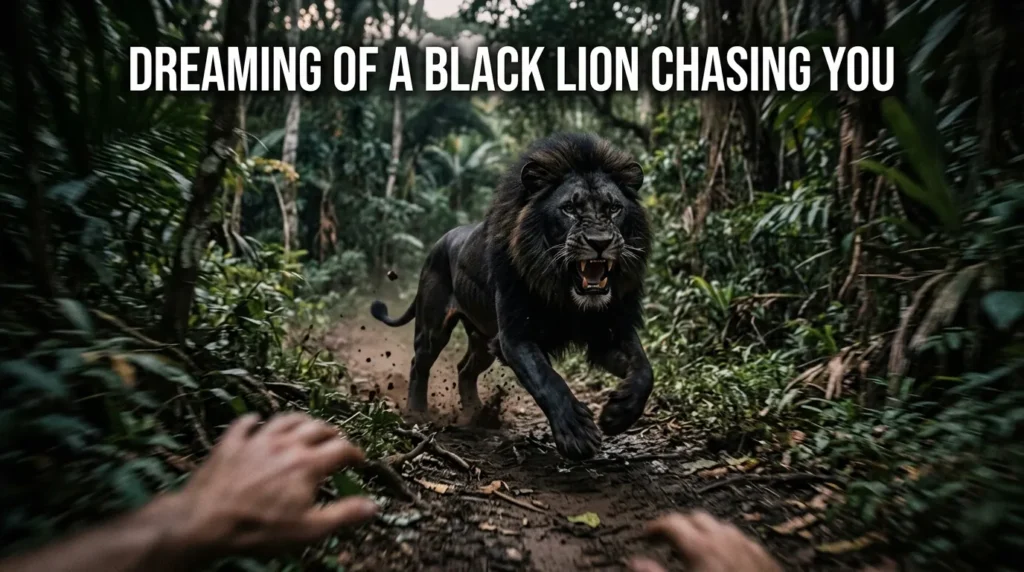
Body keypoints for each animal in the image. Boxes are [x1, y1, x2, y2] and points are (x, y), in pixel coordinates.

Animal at [370, 133, 653, 460]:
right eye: (569, 209)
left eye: (614, 208)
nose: (600, 242)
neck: (566, 295)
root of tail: (438, 244)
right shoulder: (515, 336)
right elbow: (546, 379)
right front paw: (577, 433)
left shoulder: (608, 331)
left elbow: (644, 369)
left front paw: (619, 413)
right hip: (434, 328)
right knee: (420, 362)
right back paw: (417, 413)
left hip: (481, 341)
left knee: (464, 369)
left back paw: (478, 415)